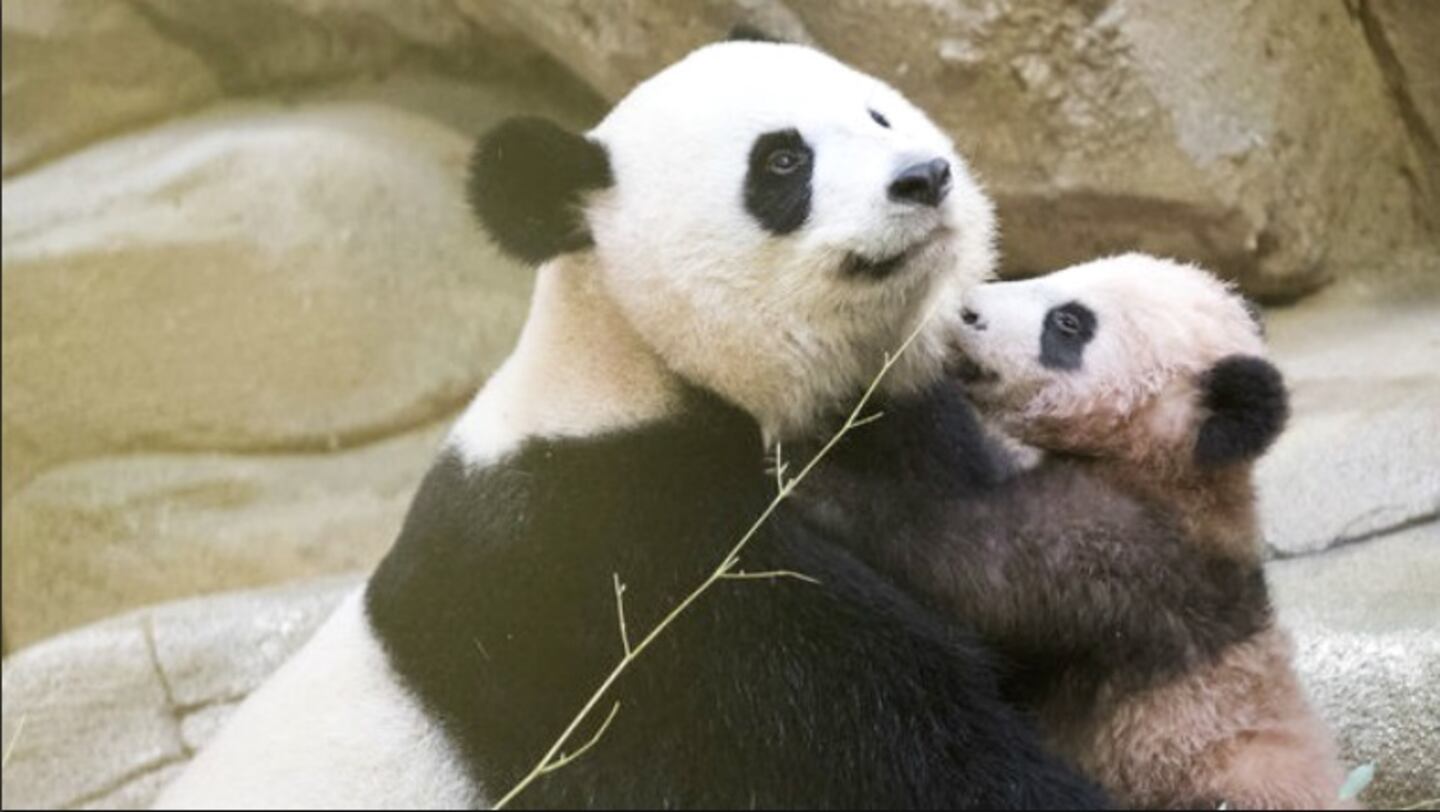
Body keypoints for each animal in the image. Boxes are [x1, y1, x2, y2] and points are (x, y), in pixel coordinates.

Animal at [154, 36, 1100, 806]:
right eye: (782, 162)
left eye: (877, 110)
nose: (924, 176)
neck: (636, 357)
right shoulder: (601, 569)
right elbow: (857, 740)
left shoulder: (894, 439)